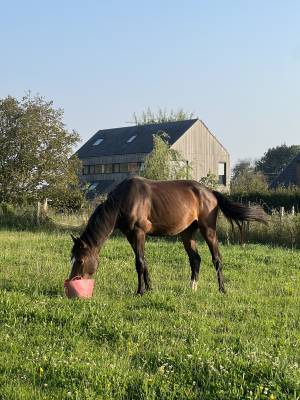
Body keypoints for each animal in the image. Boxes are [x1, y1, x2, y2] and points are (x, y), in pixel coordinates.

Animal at [69, 177, 266, 294]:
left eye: (80, 260)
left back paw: (222, 289)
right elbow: (144, 261)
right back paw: (192, 287)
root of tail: (211, 192)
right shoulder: (130, 235)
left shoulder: (139, 233)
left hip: (208, 230)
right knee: (195, 259)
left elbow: (139, 262)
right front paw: (149, 288)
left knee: (216, 258)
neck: (123, 201)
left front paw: (140, 291)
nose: (72, 282)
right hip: (187, 233)